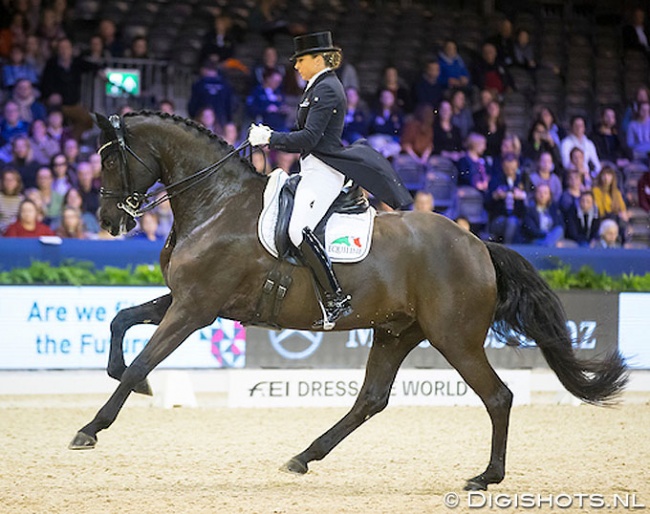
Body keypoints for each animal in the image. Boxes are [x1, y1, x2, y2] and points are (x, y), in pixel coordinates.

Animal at [71, 111, 628, 488]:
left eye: (111, 157)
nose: (108, 221)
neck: (218, 202)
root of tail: (477, 244)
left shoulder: (195, 308)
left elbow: (143, 360)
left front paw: (91, 428)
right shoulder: (187, 299)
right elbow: (122, 322)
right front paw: (123, 382)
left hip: (455, 337)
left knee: (497, 397)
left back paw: (485, 477)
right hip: (396, 331)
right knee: (371, 399)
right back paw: (303, 457)